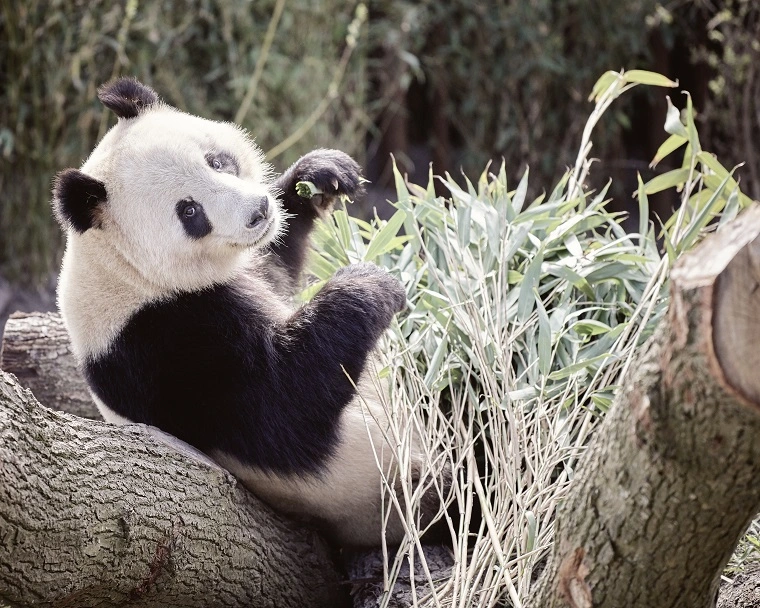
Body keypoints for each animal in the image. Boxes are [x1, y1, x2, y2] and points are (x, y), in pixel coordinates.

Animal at [52, 77, 444, 547]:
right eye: (190, 211)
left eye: (217, 161)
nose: (258, 213)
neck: (122, 266)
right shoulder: (163, 342)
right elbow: (285, 404)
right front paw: (370, 284)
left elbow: (278, 258)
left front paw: (321, 175)